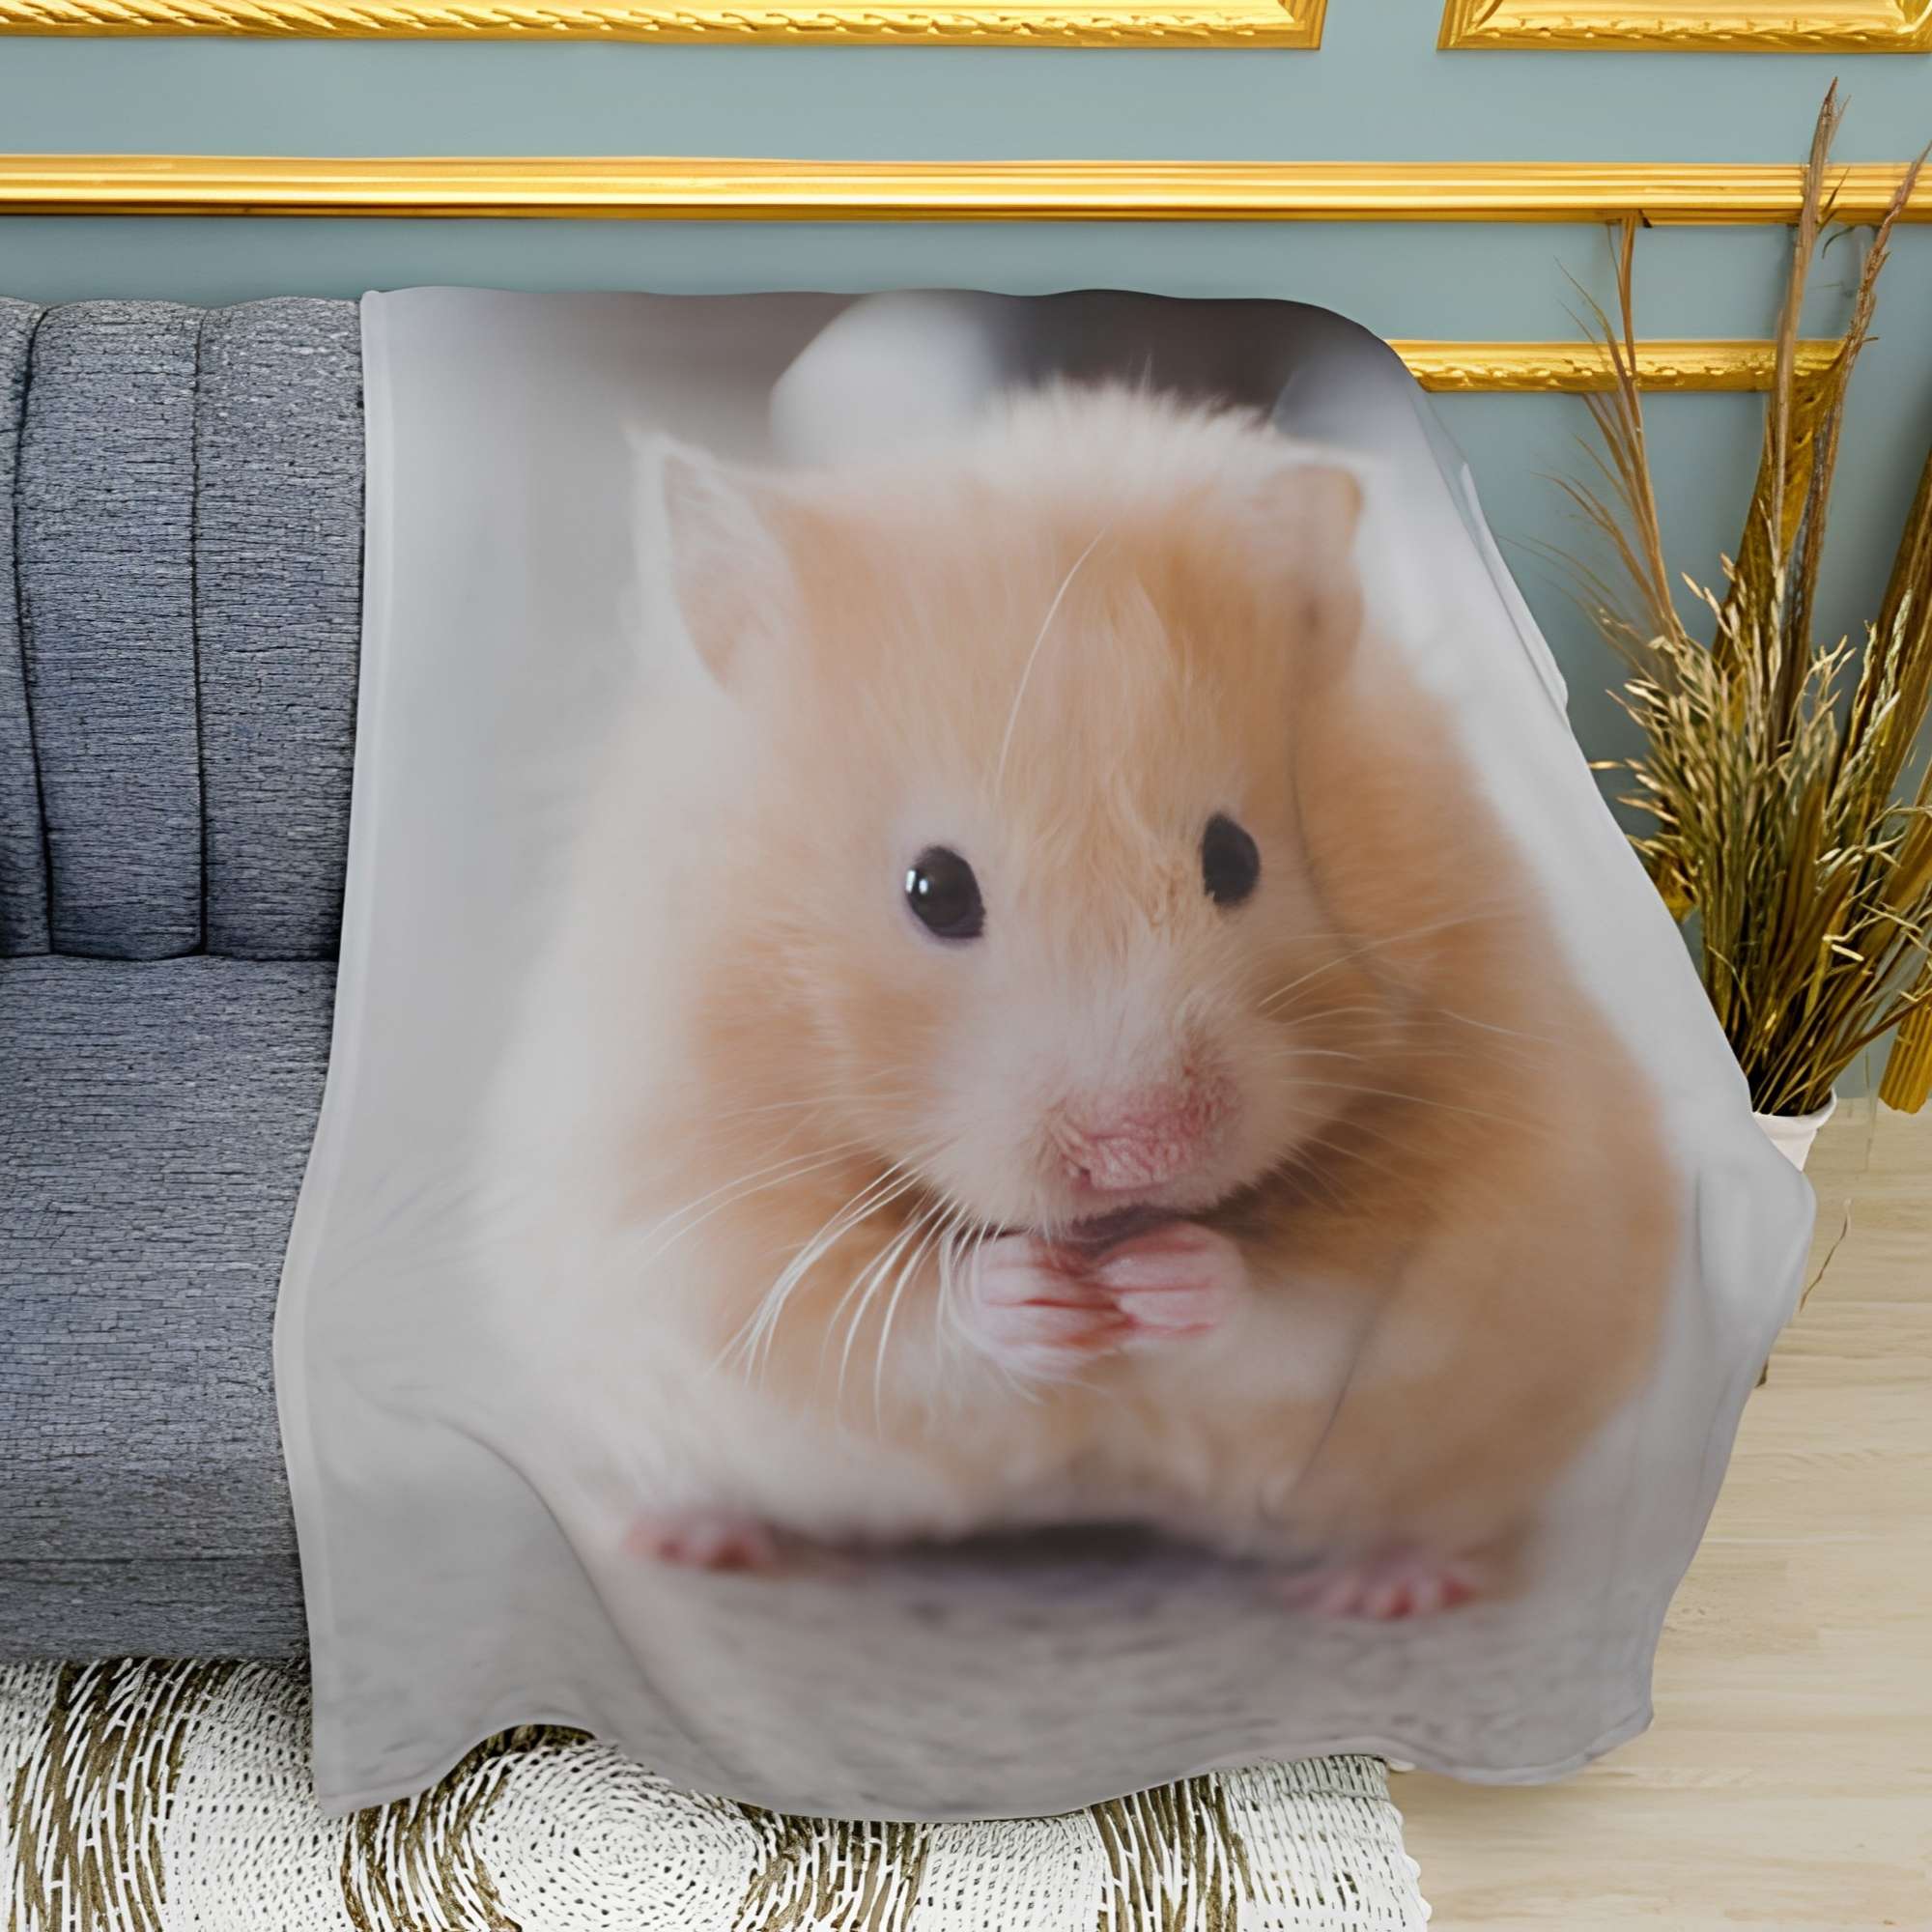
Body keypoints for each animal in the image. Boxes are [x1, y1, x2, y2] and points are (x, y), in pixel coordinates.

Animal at [477, 383, 1679, 1619]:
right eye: (934, 889)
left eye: (1235, 858)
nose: (1140, 1151)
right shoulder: (693, 1216)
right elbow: (886, 1319)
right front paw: (1034, 1294)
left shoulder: (1478, 1201)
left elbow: (1307, 1310)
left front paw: (1165, 1278)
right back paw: (688, 1537)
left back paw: (1385, 1587)